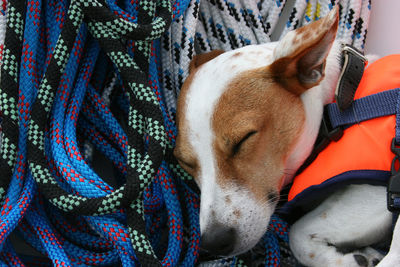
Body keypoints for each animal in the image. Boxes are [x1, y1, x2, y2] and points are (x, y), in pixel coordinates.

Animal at [174, 7, 400, 266]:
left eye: (244, 139)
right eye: (185, 163)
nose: (214, 241)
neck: (341, 101)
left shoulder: (375, 192)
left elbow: (297, 234)